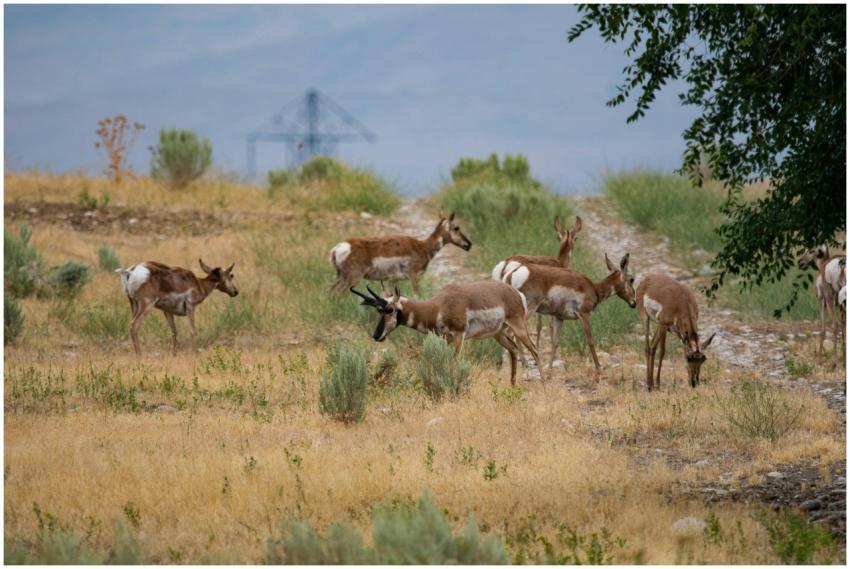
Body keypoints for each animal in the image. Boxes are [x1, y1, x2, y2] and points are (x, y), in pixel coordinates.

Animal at [330, 211, 472, 295]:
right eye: (456, 228)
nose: (469, 244)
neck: (422, 247)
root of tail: (340, 247)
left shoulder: (393, 280)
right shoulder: (414, 276)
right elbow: (417, 295)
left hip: (341, 277)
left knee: (330, 292)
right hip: (352, 278)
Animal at [350, 281, 542, 385]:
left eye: (389, 309)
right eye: (378, 311)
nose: (376, 335)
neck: (438, 307)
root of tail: (516, 293)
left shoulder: (458, 337)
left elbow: (454, 363)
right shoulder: (445, 339)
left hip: (518, 327)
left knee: (535, 350)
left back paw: (544, 384)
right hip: (499, 333)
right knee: (514, 349)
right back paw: (512, 385)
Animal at [503, 253, 636, 378]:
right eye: (631, 280)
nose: (634, 303)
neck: (594, 288)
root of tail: (513, 273)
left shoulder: (559, 318)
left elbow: (555, 342)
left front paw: (549, 372)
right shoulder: (584, 314)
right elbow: (590, 340)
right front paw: (599, 369)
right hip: (526, 312)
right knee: (511, 333)